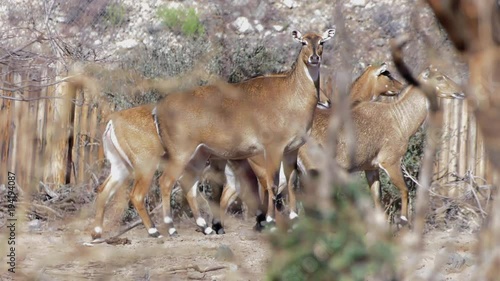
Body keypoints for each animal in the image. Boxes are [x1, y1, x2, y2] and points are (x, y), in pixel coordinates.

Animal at [152, 27, 336, 234]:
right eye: (303, 42)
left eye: (321, 42)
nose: (314, 58)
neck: (291, 94)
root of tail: (157, 109)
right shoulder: (273, 148)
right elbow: (271, 184)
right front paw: (270, 221)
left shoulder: (292, 149)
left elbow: (290, 182)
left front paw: (294, 220)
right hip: (180, 153)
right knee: (165, 182)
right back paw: (170, 228)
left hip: (199, 154)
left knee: (189, 184)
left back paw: (205, 226)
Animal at [292, 65, 464, 223]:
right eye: (440, 77)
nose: (461, 92)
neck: (399, 119)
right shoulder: (390, 162)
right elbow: (404, 190)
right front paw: (403, 220)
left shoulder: (371, 167)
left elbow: (377, 200)